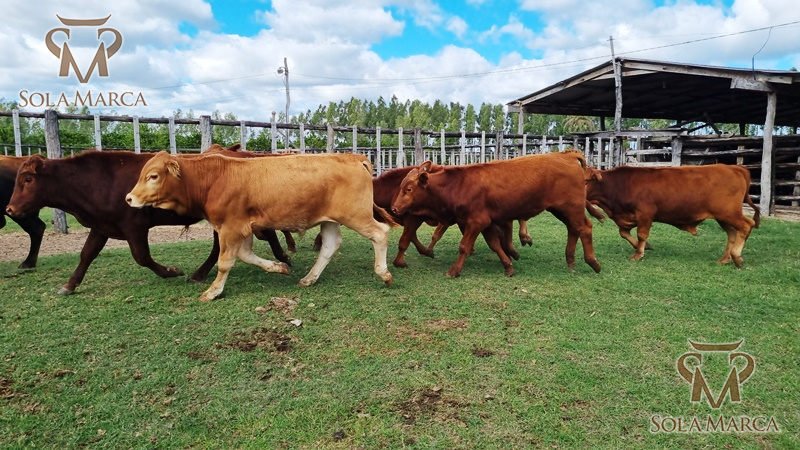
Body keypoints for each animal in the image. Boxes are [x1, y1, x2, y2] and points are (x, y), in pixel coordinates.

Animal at [5, 150, 291, 295]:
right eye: (17, 179)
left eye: (28, 179)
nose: (10, 208)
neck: (95, 179)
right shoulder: (101, 226)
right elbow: (87, 254)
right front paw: (70, 284)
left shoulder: (134, 226)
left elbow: (141, 256)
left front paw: (171, 271)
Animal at [125, 151, 394, 301]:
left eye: (153, 176)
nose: (128, 198)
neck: (213, 178)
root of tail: (353, 157)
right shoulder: (243, 227)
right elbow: (245, 255)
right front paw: (279, 267)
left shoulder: (230, 227)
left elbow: (225, 263)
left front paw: (213, 291)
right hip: (330, 220)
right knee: (330, 245)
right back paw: (309, 278)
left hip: (356, 215)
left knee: (380, 233)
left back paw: (383, 273)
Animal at [391, 151, 601, 278]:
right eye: (400, 186)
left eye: (409, 189)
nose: (393, 209)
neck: (458, 184)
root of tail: (565, 154)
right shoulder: (486, 223)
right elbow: (495, 244)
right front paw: (508, 266)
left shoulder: (476, 222)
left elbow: (464, 246)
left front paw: (454, 270)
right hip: (562, 209)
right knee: (573, 229)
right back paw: (570, 261)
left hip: (571, 207)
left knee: (585, 228)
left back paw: (592, 262)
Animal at [584, 164, 760, 267]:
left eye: (586, 181)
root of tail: (734, 167)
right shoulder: (628, 217)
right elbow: (624, 233)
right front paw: (645, 247)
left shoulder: (645, 214)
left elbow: (641, 234)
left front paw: (638, 253)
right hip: (722, 217)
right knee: (732, 233)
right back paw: (725, 258)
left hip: (729, 213)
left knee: (747, 225)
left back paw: (737, 257)